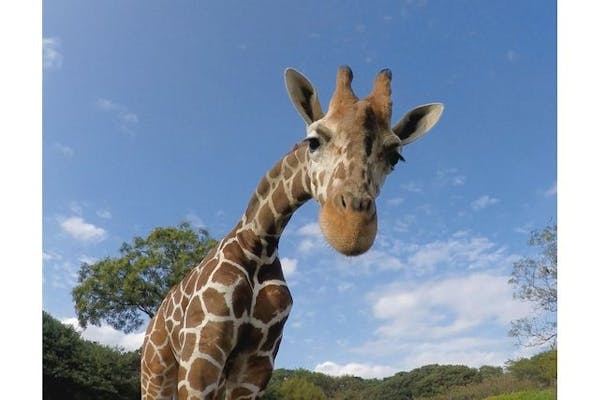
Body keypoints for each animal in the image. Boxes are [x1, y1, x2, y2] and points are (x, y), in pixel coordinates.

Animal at [139, 64, 440, 398]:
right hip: (156, 372)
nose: (351, 229)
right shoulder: (202, 351)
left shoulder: (257, 362)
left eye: (394, 157)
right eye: (314, 141)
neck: (258, 244)